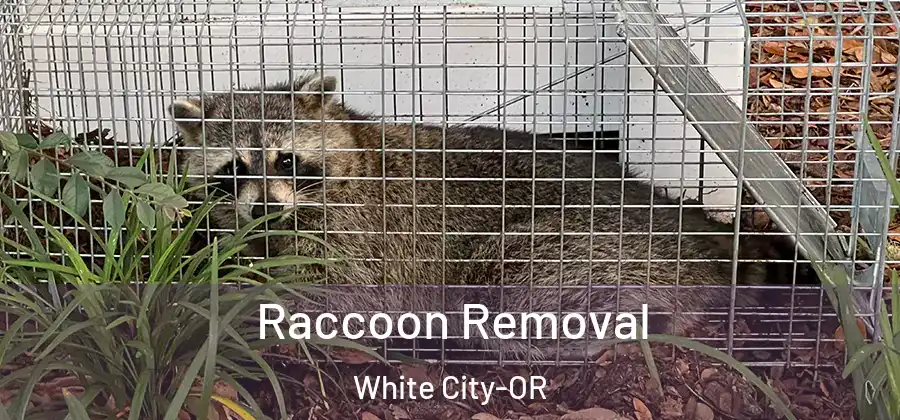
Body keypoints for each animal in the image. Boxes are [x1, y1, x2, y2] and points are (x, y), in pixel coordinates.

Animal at [167, 73, 801, 360]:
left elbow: (341, 295)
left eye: (286, 159)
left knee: (511, 285)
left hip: (577, 246)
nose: (266, 206)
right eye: (234, 168)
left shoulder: (364, 235)